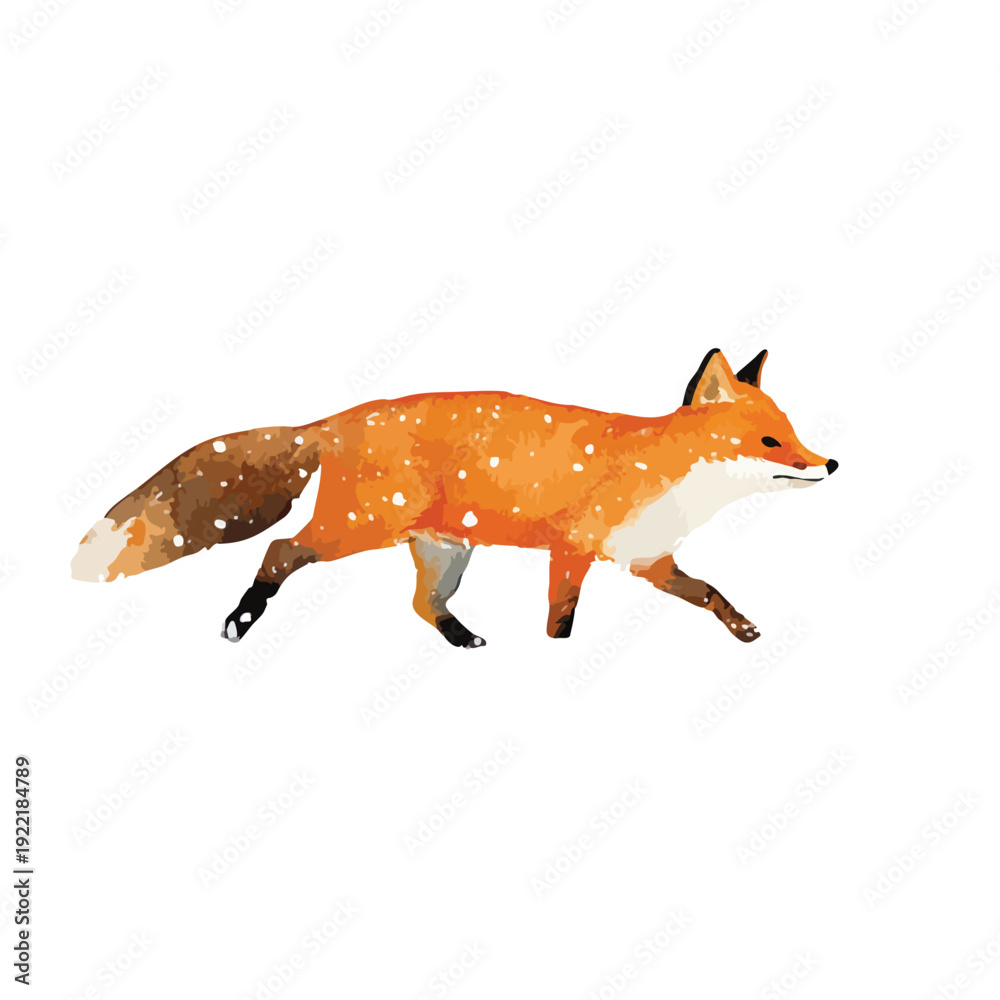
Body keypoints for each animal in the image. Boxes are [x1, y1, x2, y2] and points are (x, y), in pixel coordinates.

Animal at [72, 348, 837, 647]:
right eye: (771, 440)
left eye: (792, 432)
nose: (829, 462)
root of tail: (337, 420)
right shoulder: (574, 549)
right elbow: (561, 619)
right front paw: (558, 660)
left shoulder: (647, 559)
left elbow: (710, 593)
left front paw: (744, 629)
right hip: (355, 529)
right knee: (280, 549)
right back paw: (242, 616)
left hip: (445, 551)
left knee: (421, 604)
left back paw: (462, 636)